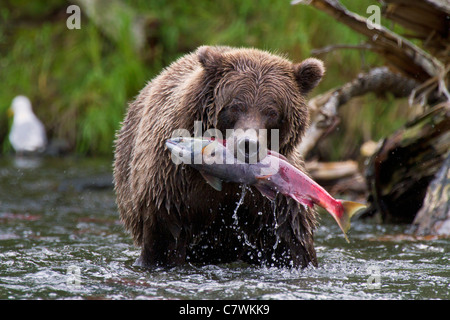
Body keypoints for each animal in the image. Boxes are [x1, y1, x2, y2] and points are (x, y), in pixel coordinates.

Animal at [112, 45, 324, 268]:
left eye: (272, 112)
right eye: (235, 106)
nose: (248, 144)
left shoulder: (275, 204)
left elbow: (292, 243)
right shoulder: (173, 185)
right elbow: (165, 240)